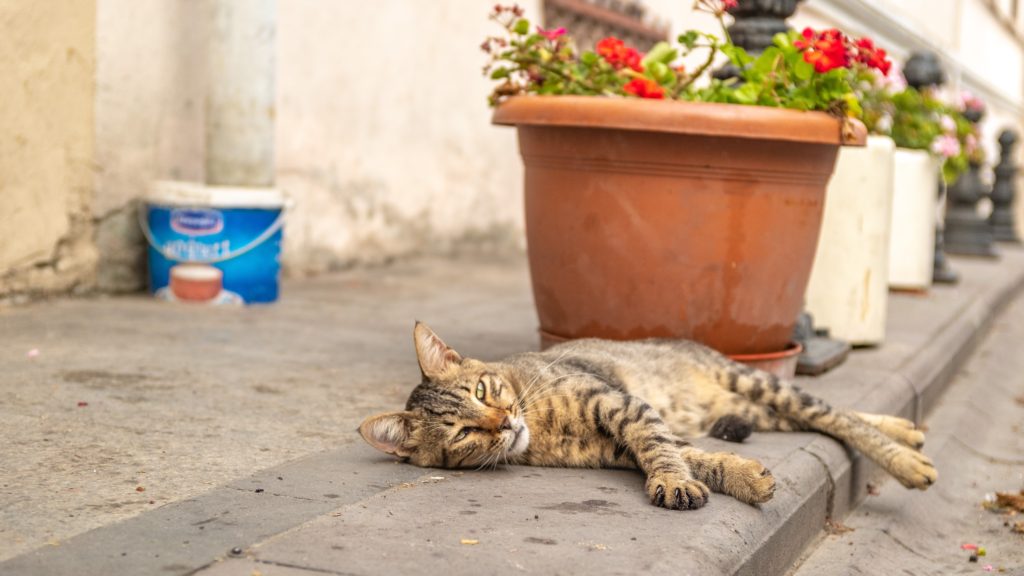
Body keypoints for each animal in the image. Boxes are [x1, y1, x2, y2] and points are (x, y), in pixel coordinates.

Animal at [358, 319, 937, 508]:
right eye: (461, 435)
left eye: (482, 390)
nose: (504, 423)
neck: (539, 426)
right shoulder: (615, 446)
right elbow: (687, 454)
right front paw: (737, 476)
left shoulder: (622, 406)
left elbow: (662, 447)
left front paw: (678, 482)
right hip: (755, 407)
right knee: (821, 418)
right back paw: (906, 433)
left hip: (757, 381)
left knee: (836, 415)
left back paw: (908, 457)